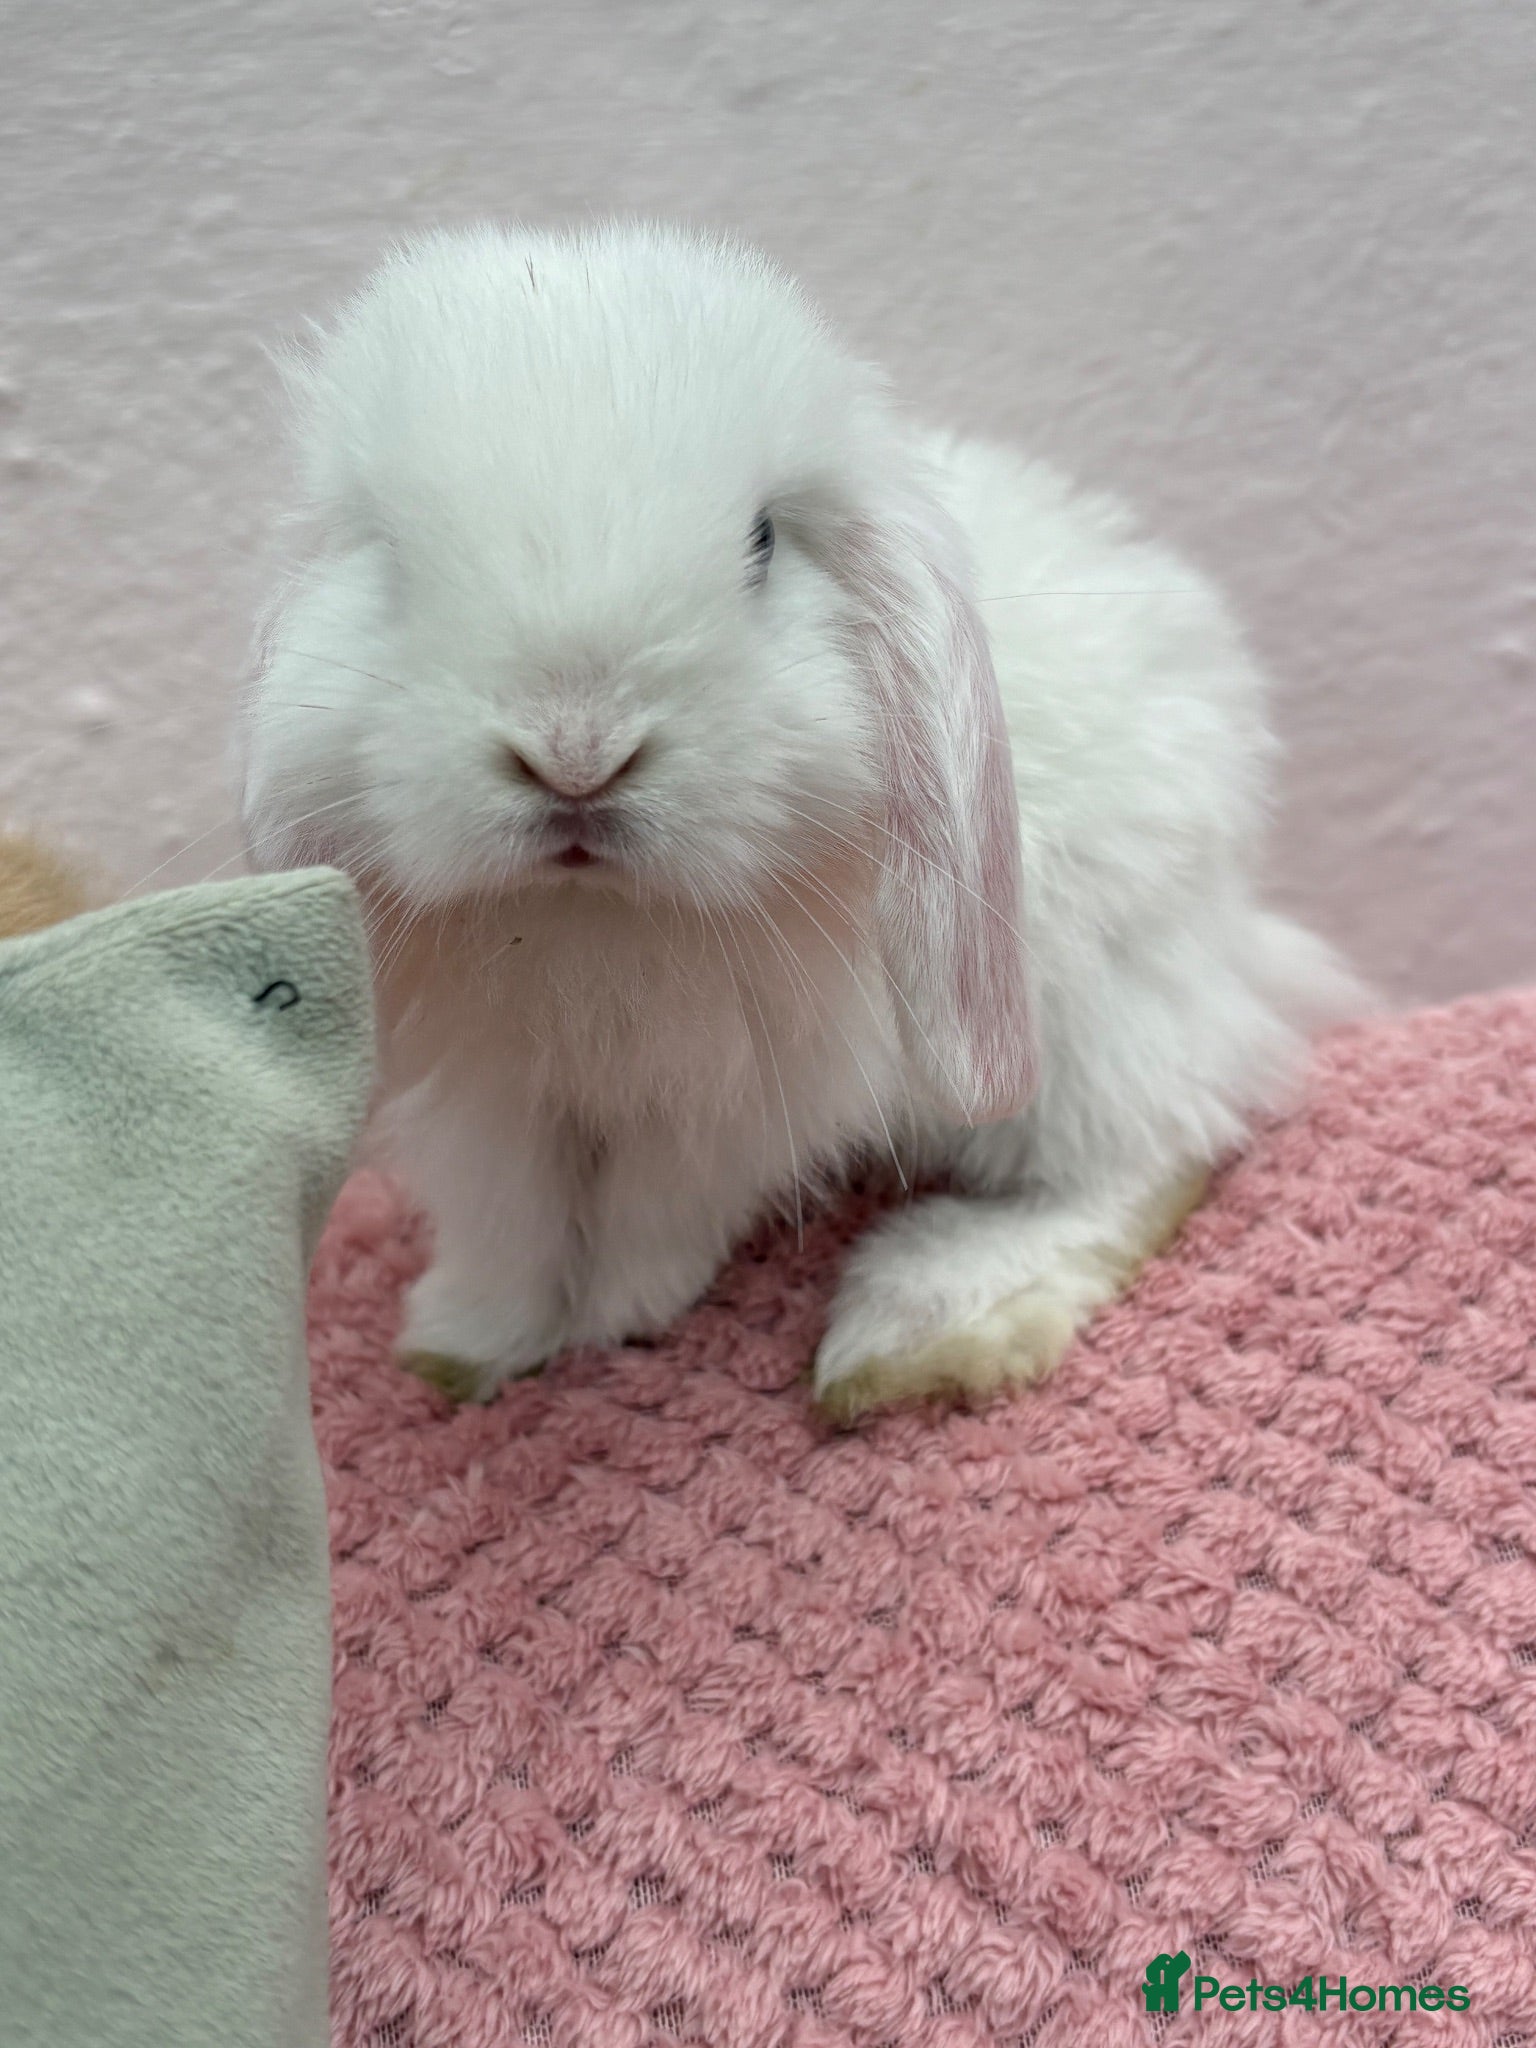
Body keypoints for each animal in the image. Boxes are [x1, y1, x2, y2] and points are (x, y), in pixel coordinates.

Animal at [237, 219, 1357, 1419]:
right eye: (392, 560)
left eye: (764, 542)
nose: (578, 755)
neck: (587, 915)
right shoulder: (495, 1095)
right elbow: (512, 1219)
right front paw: (467, 1344)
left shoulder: (741, 1085)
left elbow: (657, 1209)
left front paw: (620, 1314)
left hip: (1094, 1012)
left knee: (1150, 1152)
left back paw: (923, 1327)